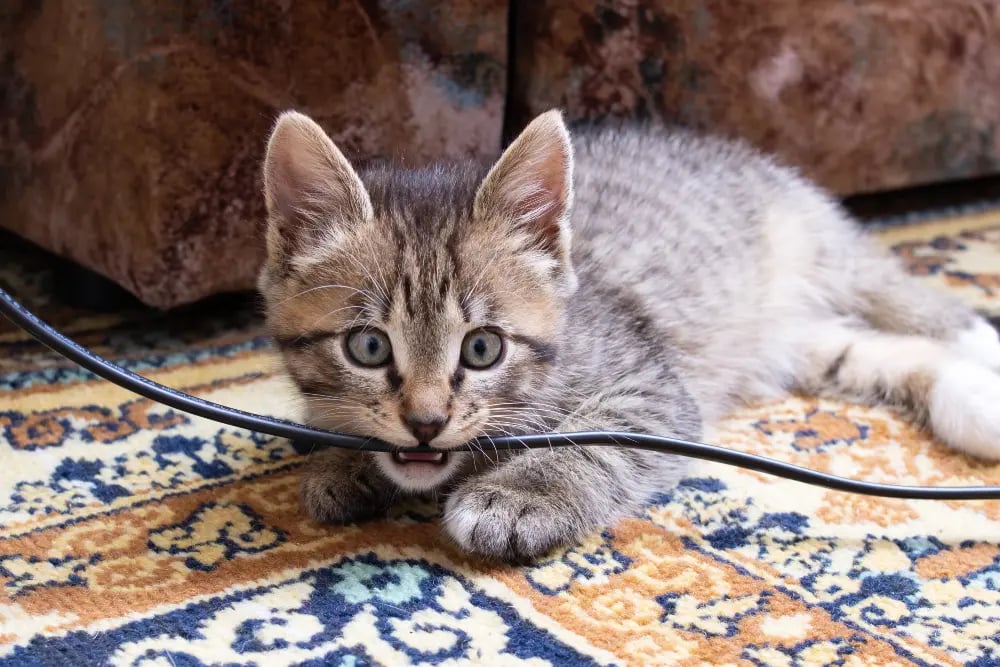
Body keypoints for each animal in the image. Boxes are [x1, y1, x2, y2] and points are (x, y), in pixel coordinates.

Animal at [258, 108, 1000, 564]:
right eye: (369, 346)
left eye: (482, 347)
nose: (425, 422)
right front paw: (340, 464)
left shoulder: (654, 388)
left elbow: (599, 441)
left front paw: (520, 494)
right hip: (792, 342)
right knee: (868, 349)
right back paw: (978, 405)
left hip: (821, 246)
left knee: (915, 303)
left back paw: (980, 344)